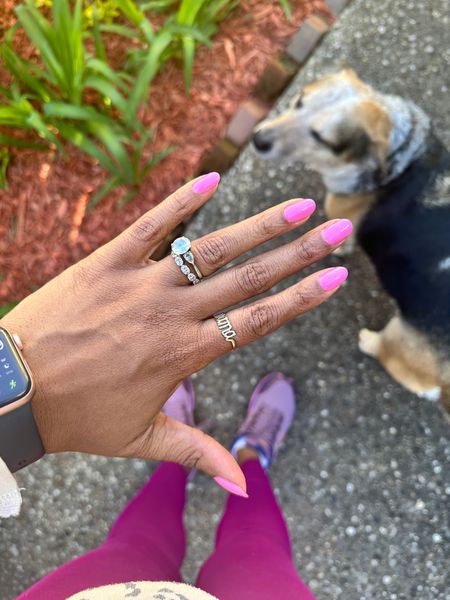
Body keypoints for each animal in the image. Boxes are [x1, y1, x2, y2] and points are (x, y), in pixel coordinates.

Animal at [251, 67, 450, 412]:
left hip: (401, 339)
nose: (258, 140)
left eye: (322, 138)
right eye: (299, 100)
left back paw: (369, 341)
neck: (402, 156)